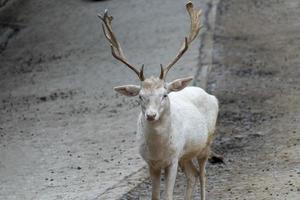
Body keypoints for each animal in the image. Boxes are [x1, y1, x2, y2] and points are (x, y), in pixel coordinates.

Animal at [98, 1, 218, 200]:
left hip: (206, 143)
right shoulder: (151, 163)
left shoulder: (173, 159)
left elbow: (168, 195)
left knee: (202, 174)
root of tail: (211, 95)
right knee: (192, 174)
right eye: (140, 96)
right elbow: (155, 196)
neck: (159, 151)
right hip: (185, 155)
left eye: (164, 94)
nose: (151, 115)